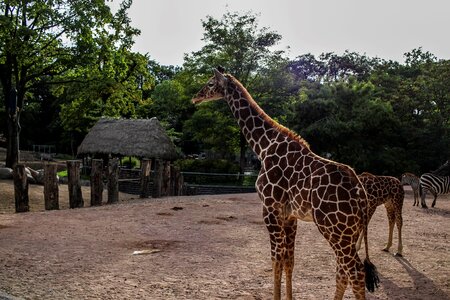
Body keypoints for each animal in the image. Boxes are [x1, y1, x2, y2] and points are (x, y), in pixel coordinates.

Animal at [192, 68, 378, 300]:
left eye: (210, 83)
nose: (195, 98)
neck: (263, 146)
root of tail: (362, 196)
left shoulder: (270, 207)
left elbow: (276, 259)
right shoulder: (290, 215)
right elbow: (289, 260)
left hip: (335, 228)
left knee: (355, 271)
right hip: (349, 231)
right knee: (342, 271)